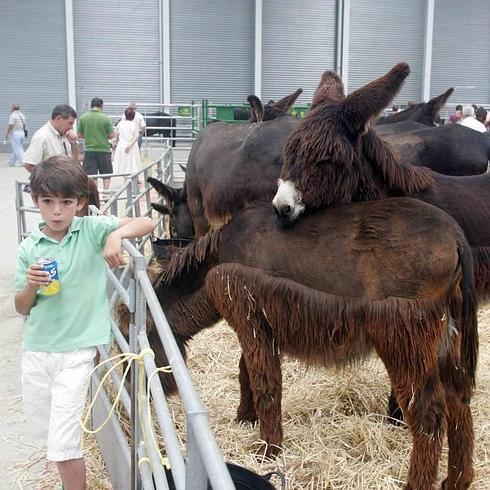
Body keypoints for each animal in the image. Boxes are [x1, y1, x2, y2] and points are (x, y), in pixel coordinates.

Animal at [123, 199, 478, 489]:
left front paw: (267, 451)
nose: (135, 404)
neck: (218, 261)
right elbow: (246, 373)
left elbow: (265, 384)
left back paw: (415, 483)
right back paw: (456, 481)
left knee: (429, 414)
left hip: (406, 341)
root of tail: (456, 236)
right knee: (458, 404)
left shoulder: (251, 321)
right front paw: (245, 418)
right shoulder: (257, 329)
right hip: (444, 342)